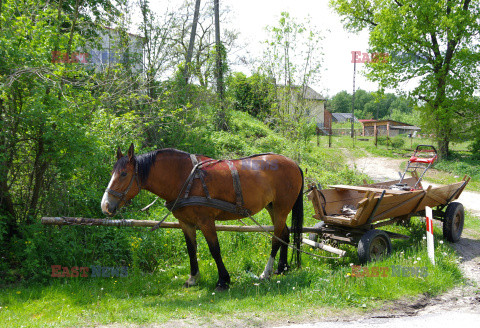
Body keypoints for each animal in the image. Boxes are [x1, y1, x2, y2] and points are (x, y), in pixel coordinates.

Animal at [101, 144, 304, 290]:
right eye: (112, 173)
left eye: (124, 173)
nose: (105, 206)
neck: (185, 178)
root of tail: (293, 163)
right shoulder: (185, 223)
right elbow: (191, 249)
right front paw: (193, 279)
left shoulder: (206, 221)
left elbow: (215, 250)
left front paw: (223, 281)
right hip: (273, 208)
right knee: (284, 233)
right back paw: (282, 268)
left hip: (281, 208)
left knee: (276, 238)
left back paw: (266, 272)